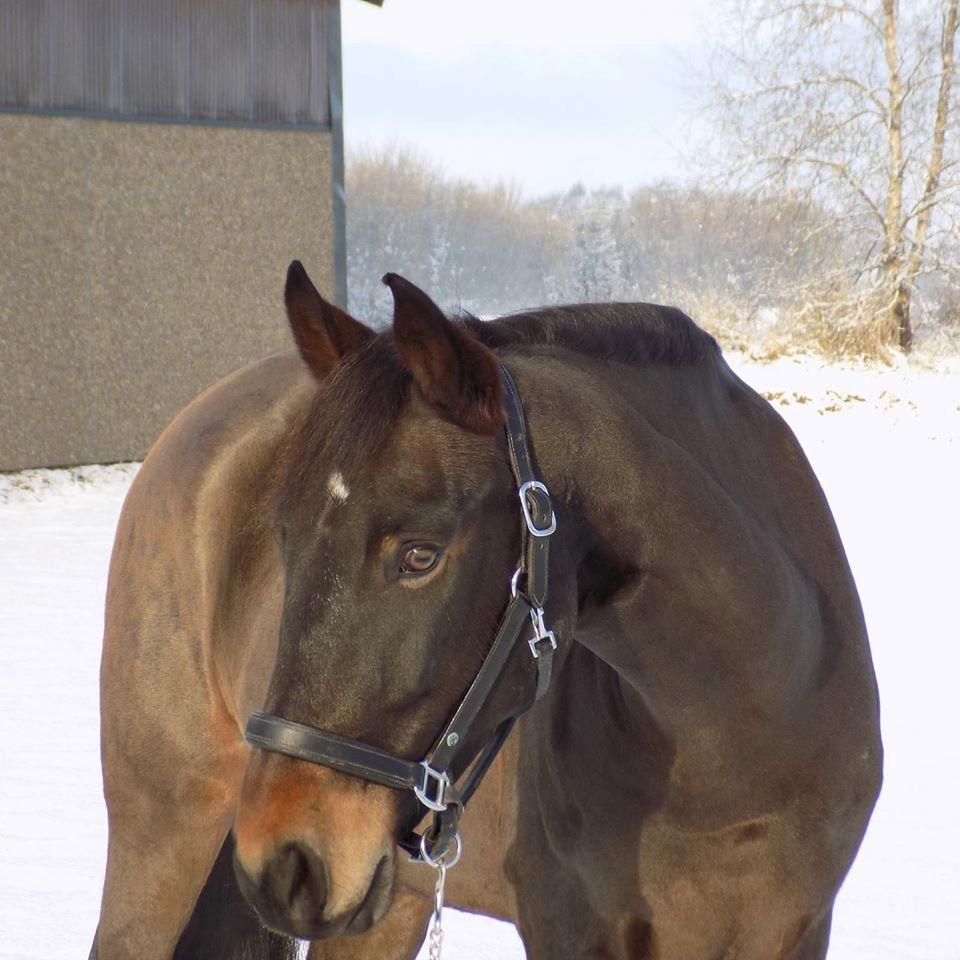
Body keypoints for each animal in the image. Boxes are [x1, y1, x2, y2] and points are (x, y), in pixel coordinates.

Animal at [94, 262, 880, 960]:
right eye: (282, 538)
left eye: (420, 555)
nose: (283, 860)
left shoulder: (797, 931)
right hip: (163, 842)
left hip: (390, 904)